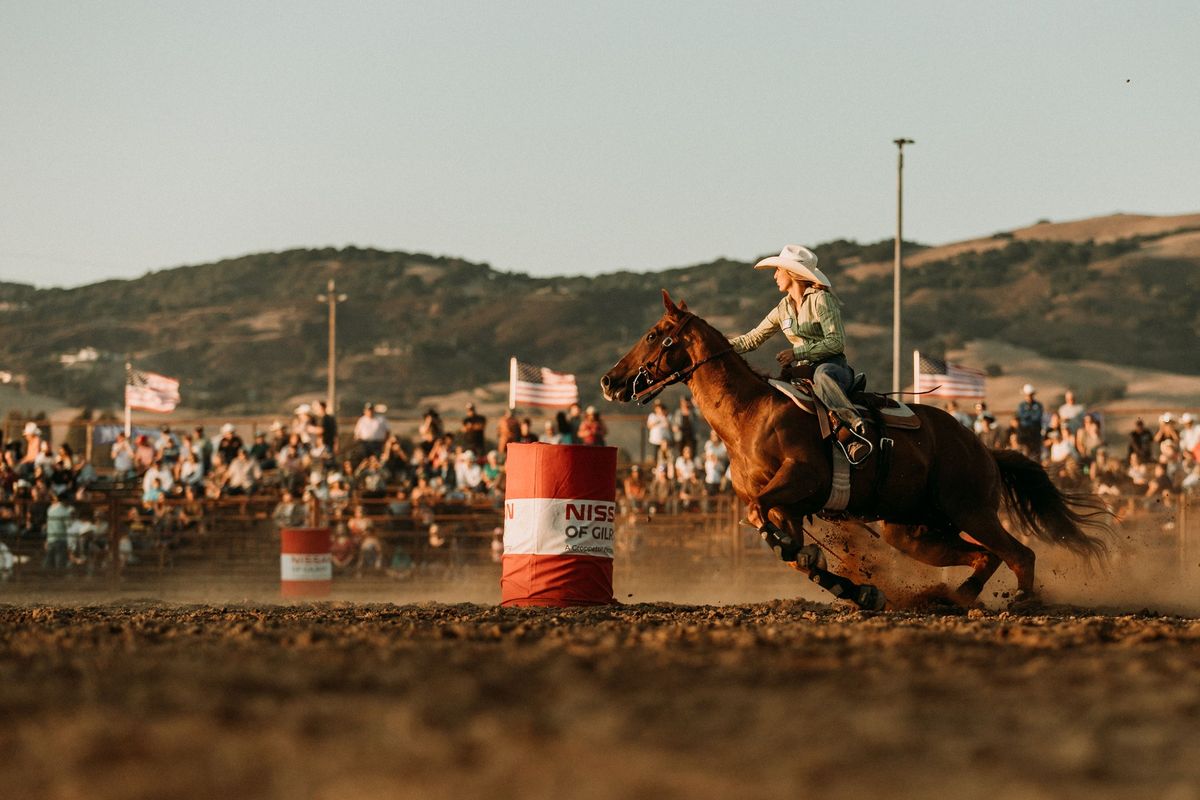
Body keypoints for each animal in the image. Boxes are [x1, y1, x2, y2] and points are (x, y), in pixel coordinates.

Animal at [604, 291, 1108, 609]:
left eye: (654, 334)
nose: (610, 381)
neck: (750, 415)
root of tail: (982, 448)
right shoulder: (791, 506)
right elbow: (791, 550)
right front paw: (855, 588)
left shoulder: (798, 481)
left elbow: (763, 520)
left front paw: (840, 577)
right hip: (914, 530)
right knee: (986, 557)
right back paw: (949, 598)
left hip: (970, 508)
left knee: (1019, 554)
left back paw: (1021, 601)